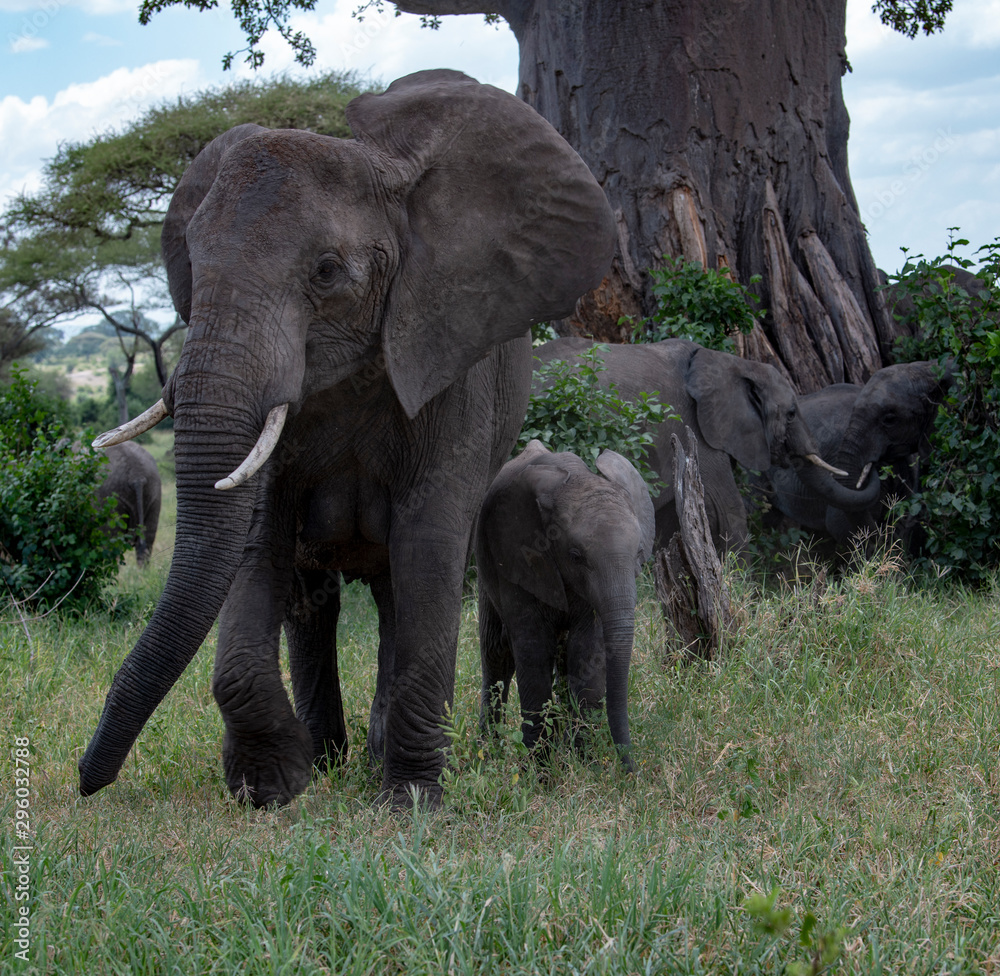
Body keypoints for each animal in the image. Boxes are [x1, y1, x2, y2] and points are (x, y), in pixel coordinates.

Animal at [76, 70, 615, 809]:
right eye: (193, 262)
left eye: (327, 271)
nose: (86, 780)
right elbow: (257, 542)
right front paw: (272, 785)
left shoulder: (450, 363)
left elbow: (428, 546)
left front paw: (411, 802)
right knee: (314, 602)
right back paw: (331, 757)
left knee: (395, 593)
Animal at [476, 440, 655, 767]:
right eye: (575, 556)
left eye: (639, 553)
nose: (633, 770)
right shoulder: (516, 556)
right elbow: (533, 650)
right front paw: (539, 769)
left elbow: (586, 649)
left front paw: (585, 764)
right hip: (486, 568)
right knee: (497, 654)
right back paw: (488, 754)